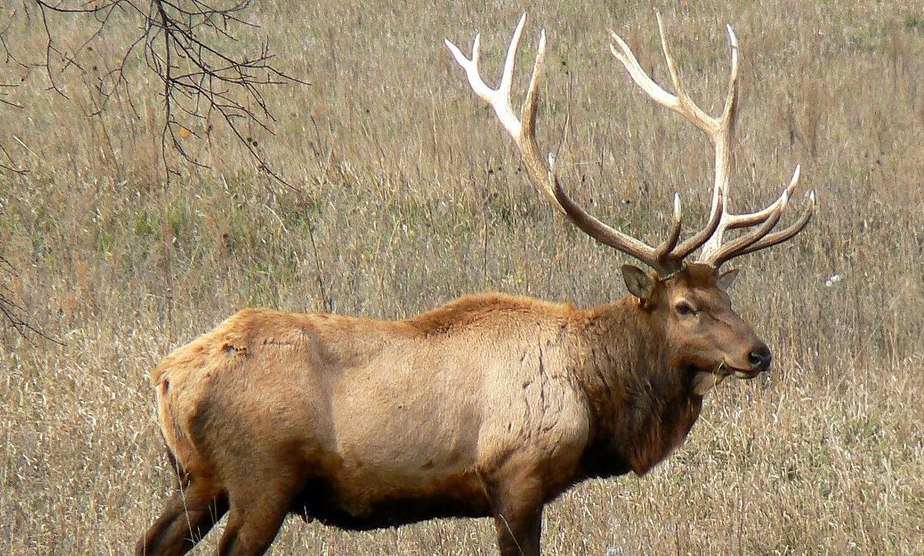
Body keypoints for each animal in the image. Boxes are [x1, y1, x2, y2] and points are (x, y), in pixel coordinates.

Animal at [137, 13, 816, 556]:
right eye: (683, 306)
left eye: (726, 295)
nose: (759, 353)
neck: (596, 395)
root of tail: (166, 376)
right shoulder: (516, 477)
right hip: (260, 478)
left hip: (198, 480)